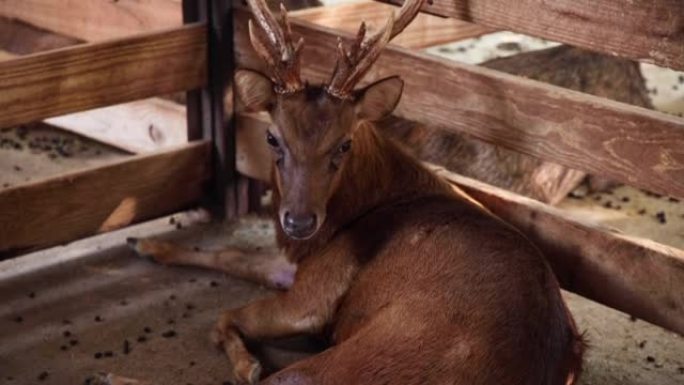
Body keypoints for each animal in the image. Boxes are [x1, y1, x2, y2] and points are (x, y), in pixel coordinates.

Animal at [127, 0, 584, 382]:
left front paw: (248, 365)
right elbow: (233, 254)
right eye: (273, 137)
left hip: (331, 367)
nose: (299, 220)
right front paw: (145, 244)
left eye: (344, 143)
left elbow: (224, 316)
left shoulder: (316, 290)